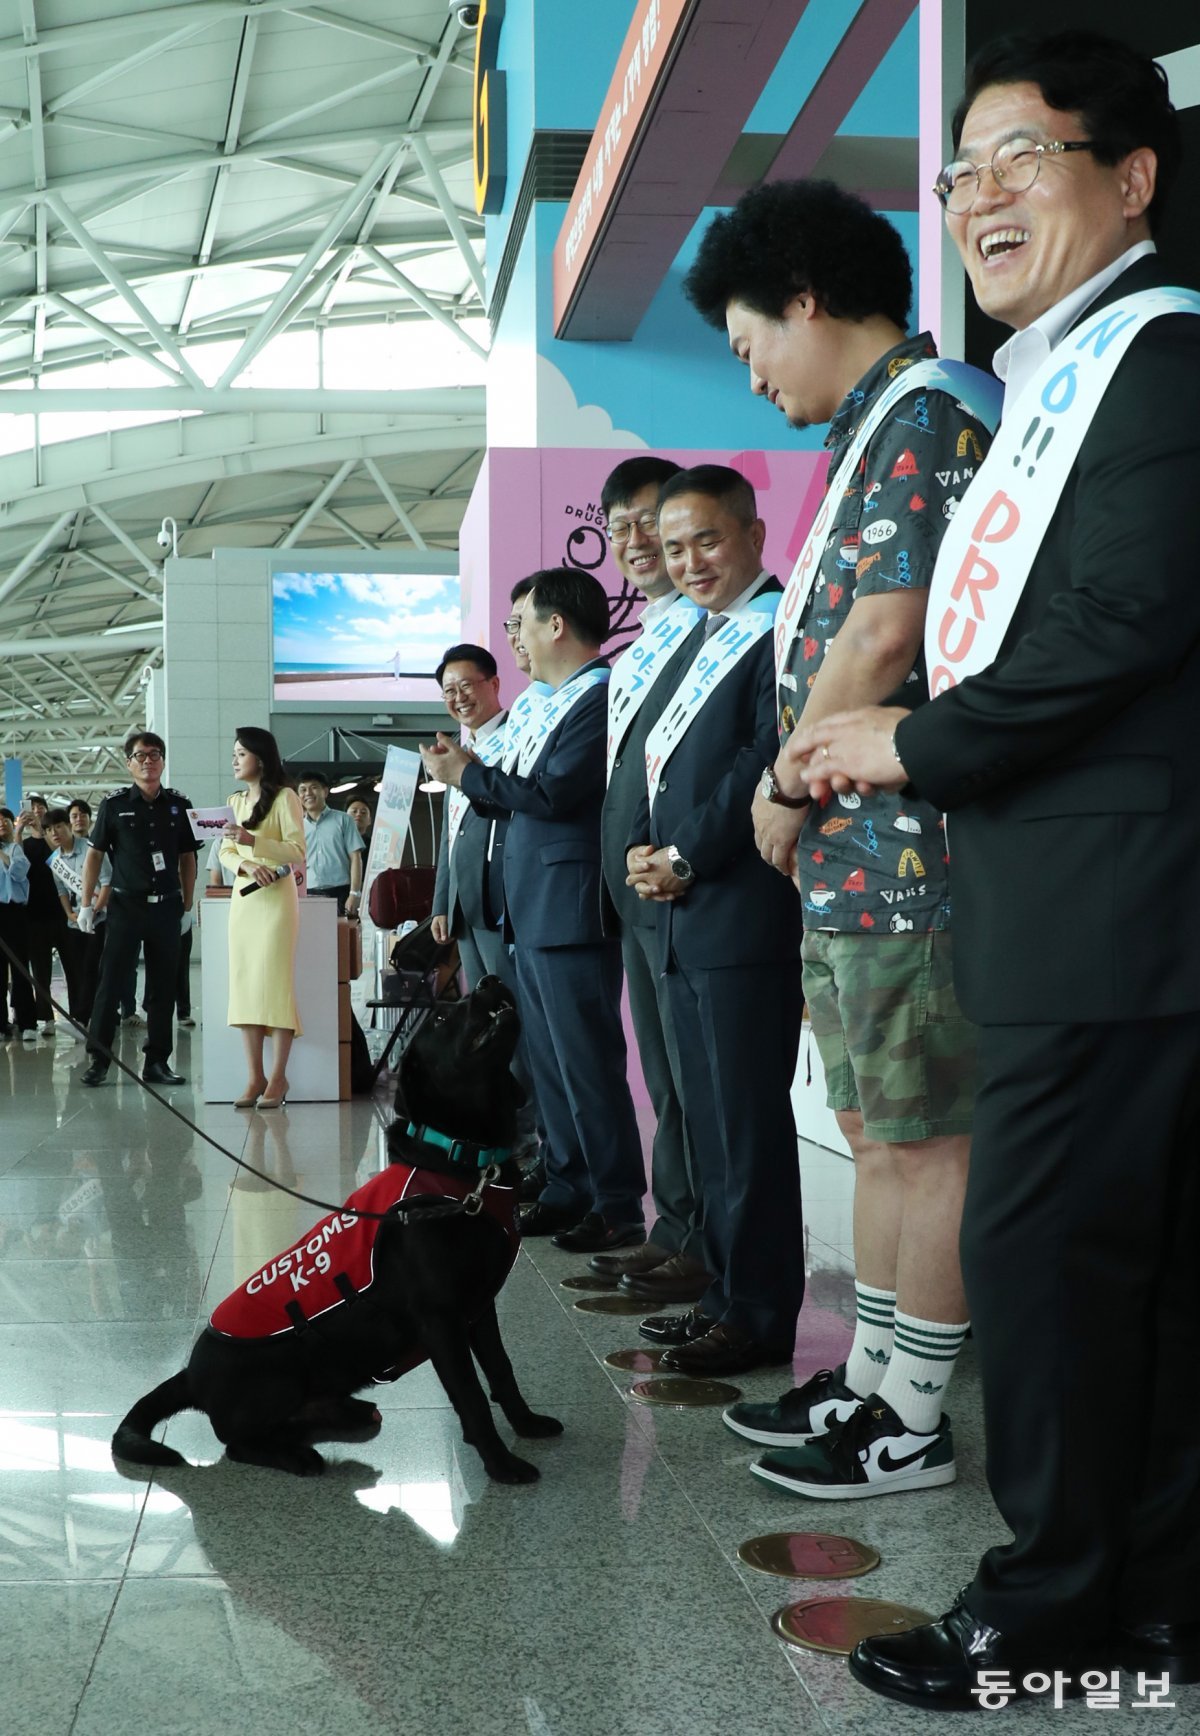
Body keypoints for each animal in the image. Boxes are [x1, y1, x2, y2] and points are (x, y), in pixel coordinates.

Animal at [112, 979, 562, 1479]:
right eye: (443, 1017)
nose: (488, 981)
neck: (466, 1166)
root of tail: (190, 1374)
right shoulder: (441, 1319)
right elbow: (472, 1395)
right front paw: (501, 1464)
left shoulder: (480, 1309)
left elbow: (502, 1370)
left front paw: (526, 1424)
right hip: (281, 1380)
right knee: (236, 1444)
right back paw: (297, 1457)